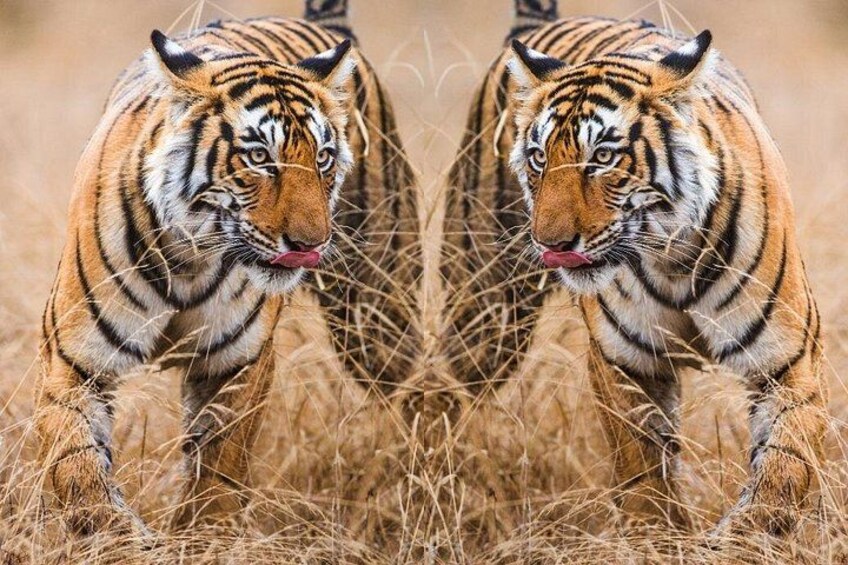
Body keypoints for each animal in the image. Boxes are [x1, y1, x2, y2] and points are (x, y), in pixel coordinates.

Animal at [36, 0, 419, 537]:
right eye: (259, 157)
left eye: (323, 158)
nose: (311, 244)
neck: (189, 258)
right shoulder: (74, 359)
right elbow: (77, 465)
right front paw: (122, 535)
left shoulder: (238, 360)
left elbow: (220, 466)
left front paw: (203, 538)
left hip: (378, 306)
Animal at [444, 0, 826, 536]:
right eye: (539, 158)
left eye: (603, 157)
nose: (550, 243)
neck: (673, 259)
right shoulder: (624, 361)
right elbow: (642, 469)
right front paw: (658, 538)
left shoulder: (787, 360)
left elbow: (784, 466)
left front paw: (738, 536)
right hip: (484, 305)